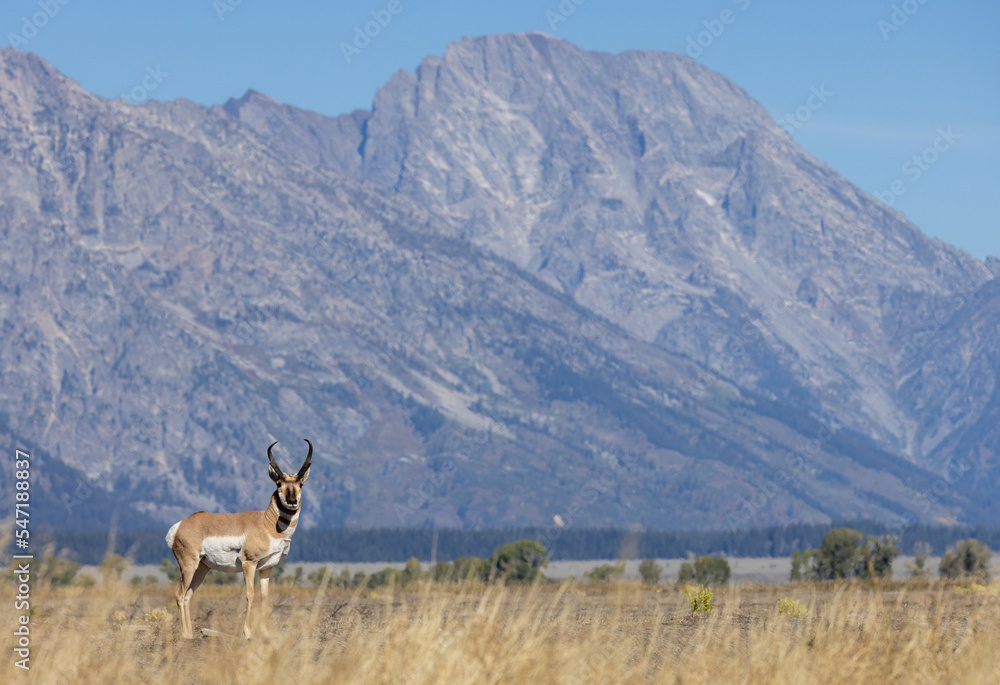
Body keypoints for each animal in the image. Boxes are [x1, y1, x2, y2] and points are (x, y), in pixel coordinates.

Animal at [165, 439, 312, 639]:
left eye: (300, 484)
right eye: (278, 483)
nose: (291, 500)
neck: (266, 523)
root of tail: (180, 525)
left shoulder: (267, 567)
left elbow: (265, 597)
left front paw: (266, 632)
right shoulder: (249, 563)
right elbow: (250, 594)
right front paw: (248, 633)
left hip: (202, 568)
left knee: (187, 596)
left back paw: (189, 634)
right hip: (188, 565)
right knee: (179, 595)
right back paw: (185, 636)